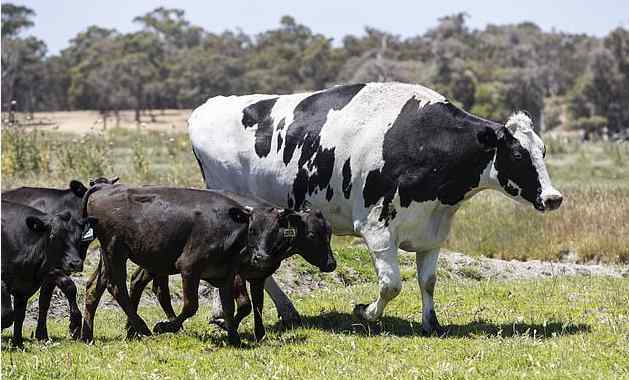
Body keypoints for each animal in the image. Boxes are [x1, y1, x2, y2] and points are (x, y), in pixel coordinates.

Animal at [188, 81, 564, 334]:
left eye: (543, 150)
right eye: (517, 154)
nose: (553, 198)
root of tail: (207, 107)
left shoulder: (432, 233)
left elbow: (428, 281)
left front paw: (431, 323)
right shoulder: (377, 228)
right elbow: (391, 284)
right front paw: (365, 313)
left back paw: (284, 312)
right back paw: (224, 313)